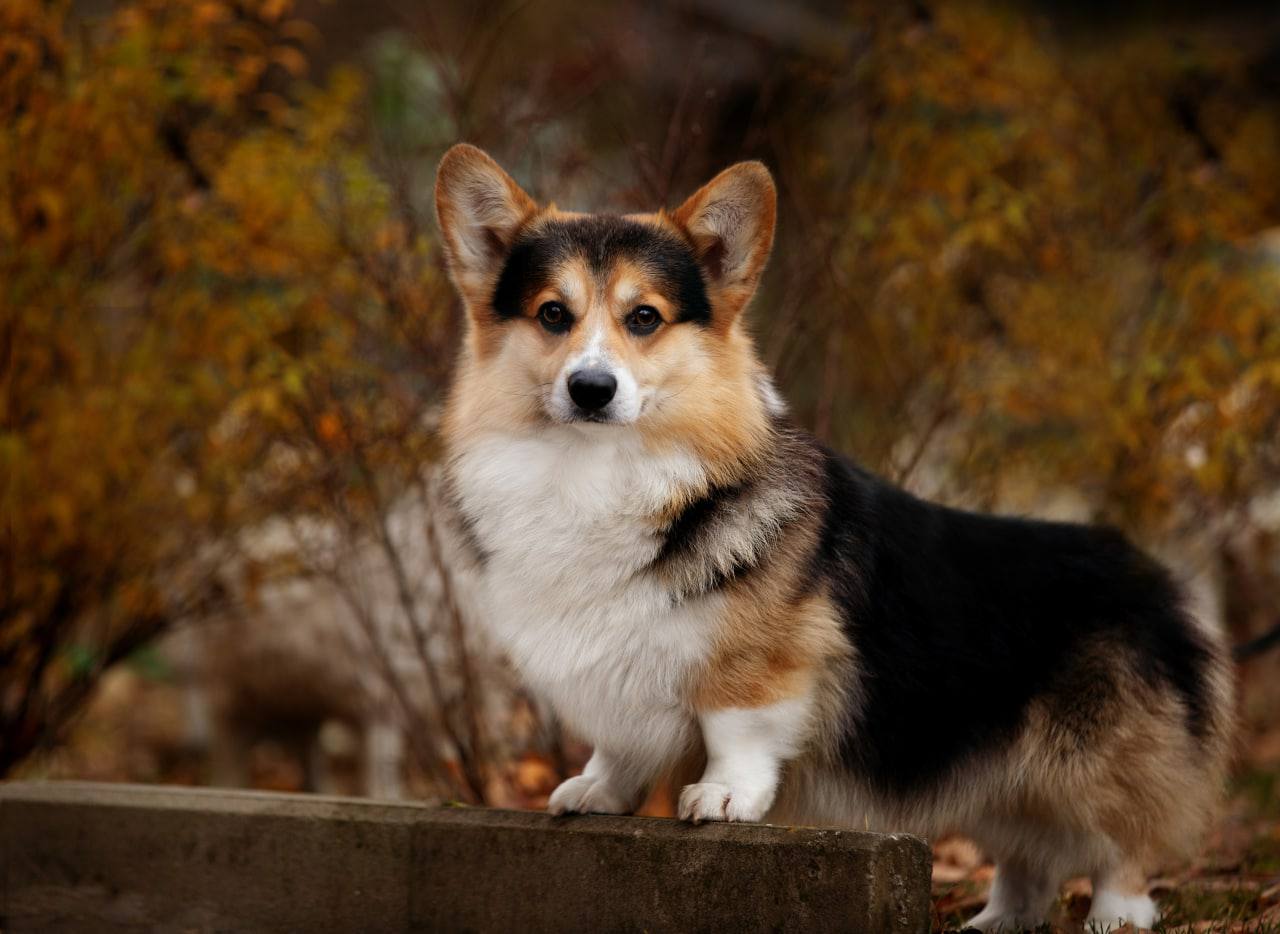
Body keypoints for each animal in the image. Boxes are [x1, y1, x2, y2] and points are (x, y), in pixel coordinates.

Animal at [435, 142, 1233, 926]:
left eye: (644, 319)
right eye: (552, 314)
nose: (591, 388)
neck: (598, 474)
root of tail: (1158, 579)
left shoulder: (764, 663)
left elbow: (737, 729)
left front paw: (722, 797)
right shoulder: (616, 675)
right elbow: (618, 748)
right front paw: (595, 791)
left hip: (1090, 763)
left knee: (1119, 843)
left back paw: (1114, 914)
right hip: (994, 771)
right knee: (1027, 862)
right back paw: (996, 921)